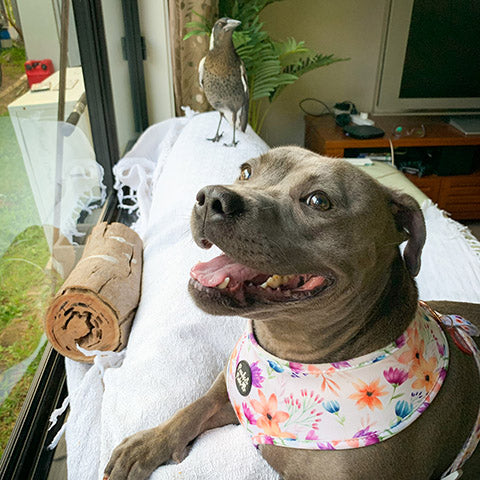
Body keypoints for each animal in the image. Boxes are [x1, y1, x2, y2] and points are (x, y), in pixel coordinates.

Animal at [105, 146, 480, 480]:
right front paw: (145, 445)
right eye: (246, 171)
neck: (290, 353)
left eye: (319, 201)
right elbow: (193, 408)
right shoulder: (227, 393)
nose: (212, 198)